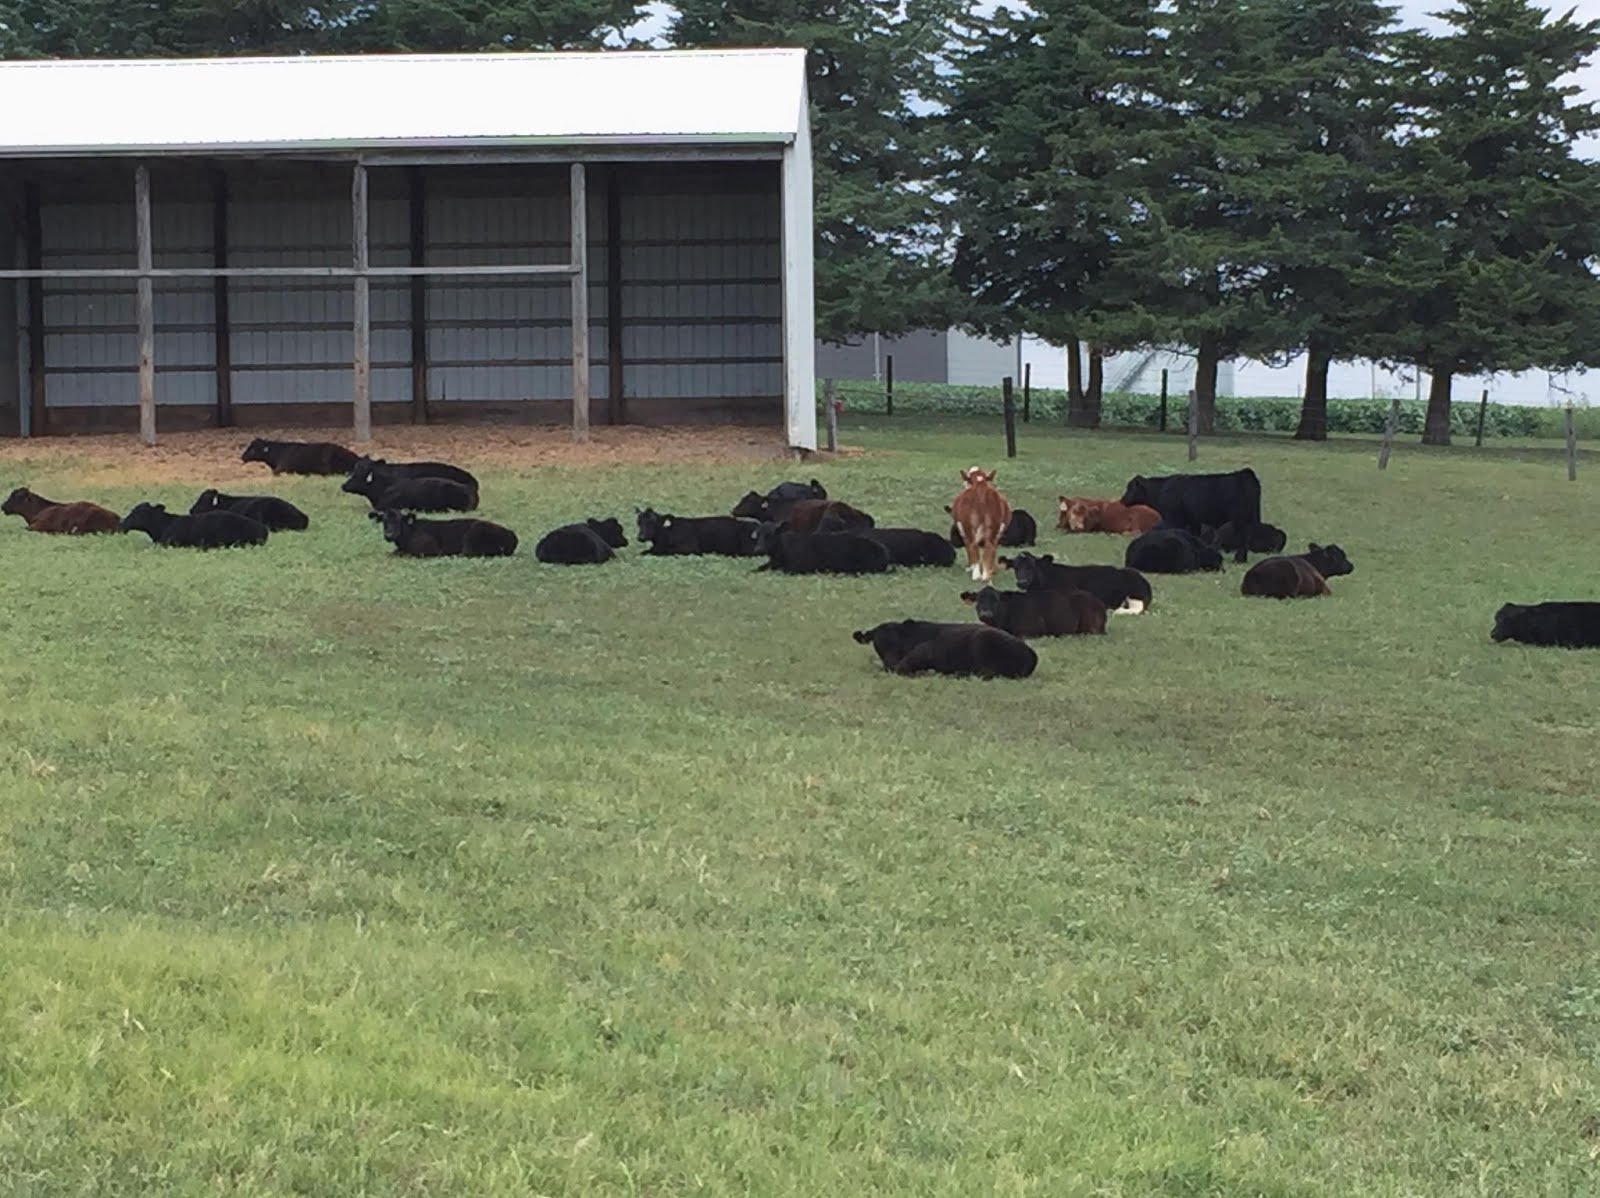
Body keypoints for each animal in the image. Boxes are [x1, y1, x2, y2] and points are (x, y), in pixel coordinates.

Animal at [1120, 468, 1263, 561]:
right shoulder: (1193, 521)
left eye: (1130, 488)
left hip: (1241, 519)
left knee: (1244, 537)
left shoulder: (1174, 519)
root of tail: (1245, 474)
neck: (1162, 490)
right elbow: (1193, 536)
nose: (1122, 500)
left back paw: (1239, 559)